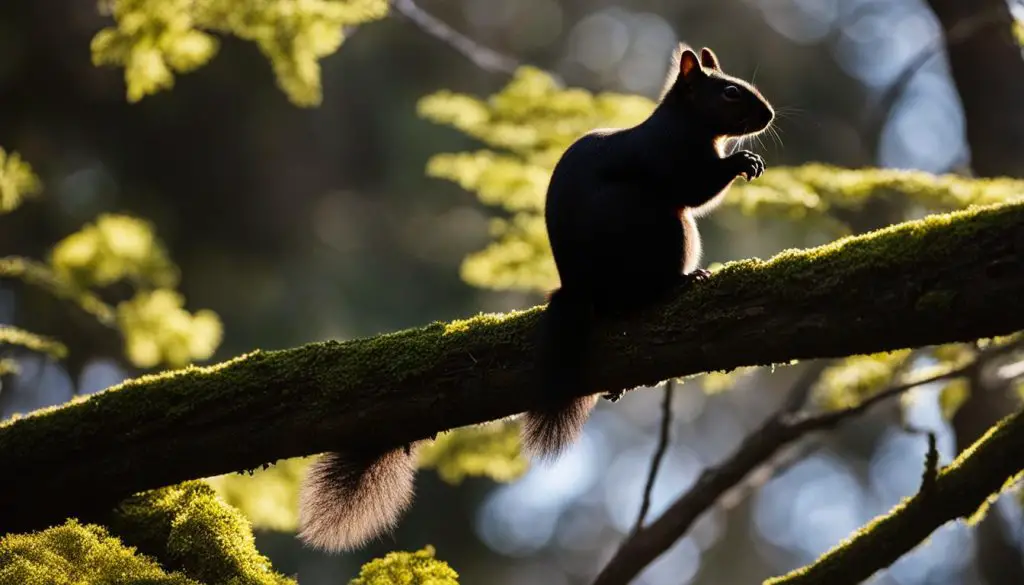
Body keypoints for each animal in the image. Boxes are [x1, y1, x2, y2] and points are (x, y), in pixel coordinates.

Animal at [520, 44, 774, 456]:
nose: (769, 115)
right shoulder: (668, 156)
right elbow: (695, 189)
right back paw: (682, 280)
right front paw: (742, 161)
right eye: (730, 92)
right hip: (658, 228)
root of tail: (580, 289)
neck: (685, 123)